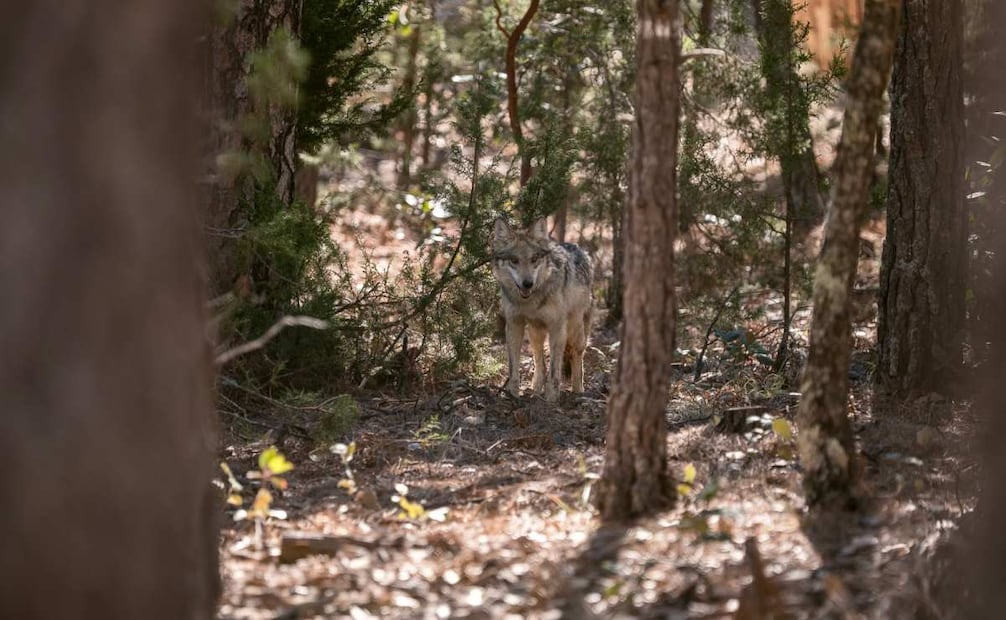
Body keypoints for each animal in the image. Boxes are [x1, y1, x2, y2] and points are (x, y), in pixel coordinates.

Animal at [491, 218, 593, 401]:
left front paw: (551, 400)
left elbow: (554, 372)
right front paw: (512, 395)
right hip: (535, 333)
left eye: (534, 259)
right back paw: (536, 391)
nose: (527, 283)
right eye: (514, 260)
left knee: (577, 357)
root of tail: (581, 249)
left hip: (575, 330)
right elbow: (513, 368)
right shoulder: (514, 324)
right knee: (540, 363)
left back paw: (578, 391)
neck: (530, 302)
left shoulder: (557, 328)